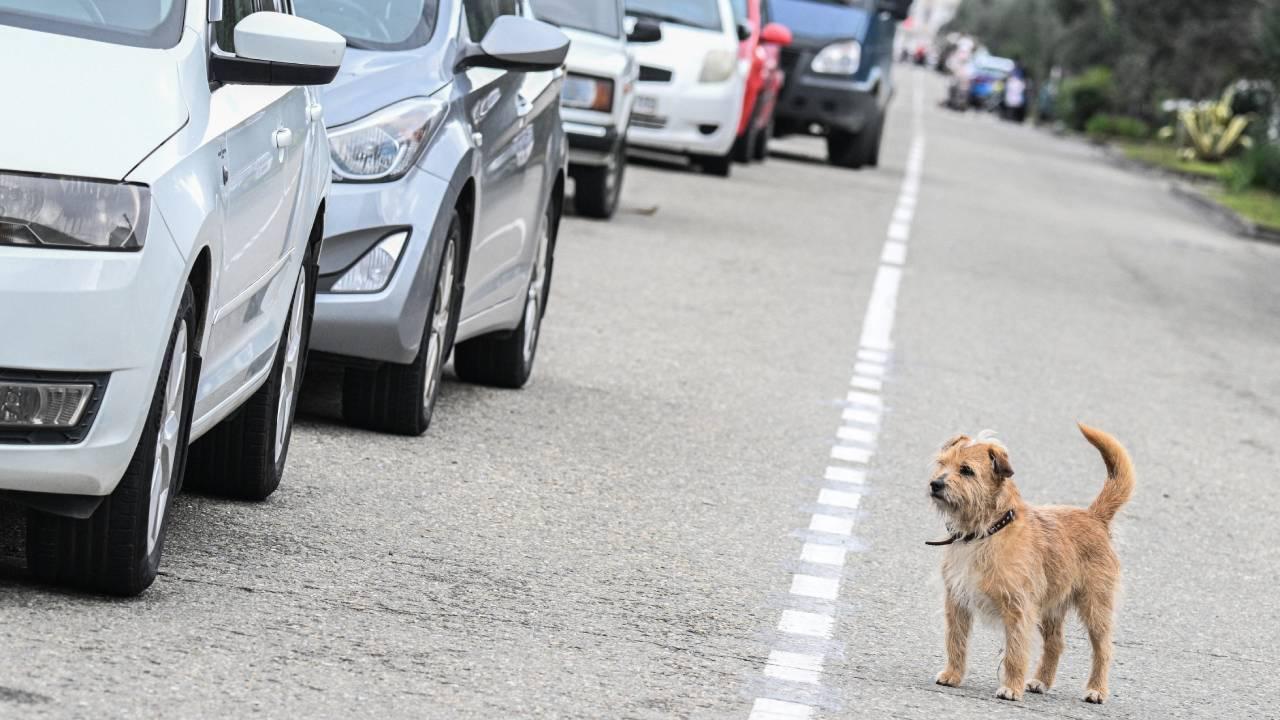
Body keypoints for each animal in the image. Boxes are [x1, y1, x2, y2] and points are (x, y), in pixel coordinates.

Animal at [926, 420, 1136, 702]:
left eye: (966, 470)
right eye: (942, 463)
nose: (935, 484)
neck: (986, 531)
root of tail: (1094, 517)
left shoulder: (1018, 609)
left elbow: (1015, 652)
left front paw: (1011, 687)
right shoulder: (957, 602)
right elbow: (956, 641)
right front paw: (953, 674)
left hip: (1095, 606)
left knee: (1102, 649)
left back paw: (1096, 689)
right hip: (1052, 609)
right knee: (1056, 644)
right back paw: (1040, 681)